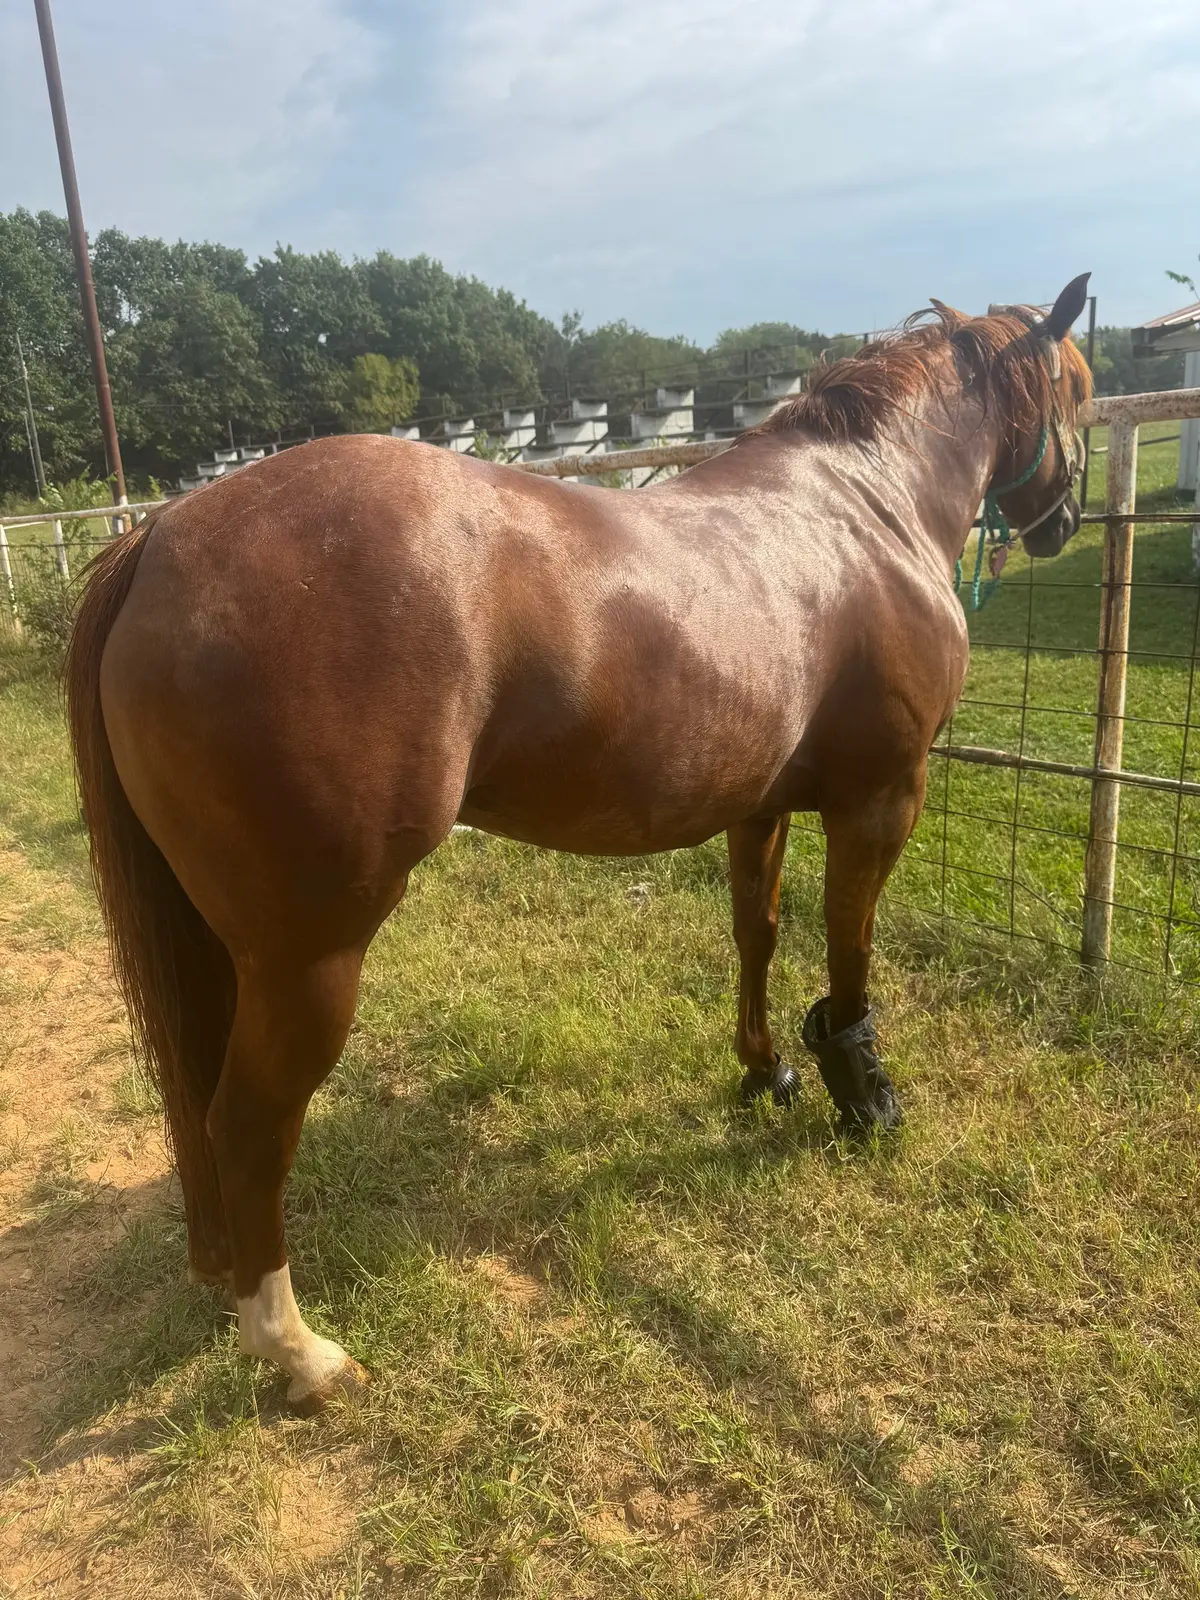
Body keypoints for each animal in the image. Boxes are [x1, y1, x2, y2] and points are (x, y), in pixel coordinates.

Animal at [64, 274, 1092, 1411]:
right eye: (1081, 388)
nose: (1065, 519)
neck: (862, 504)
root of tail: (160, 539)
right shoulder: (881, 799)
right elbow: (850, 952)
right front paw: (862, 1097)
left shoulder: (760, 804)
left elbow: (759, 934)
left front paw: (767, 1070)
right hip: (306, 959)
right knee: (245, 1128)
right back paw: (302, 1353)